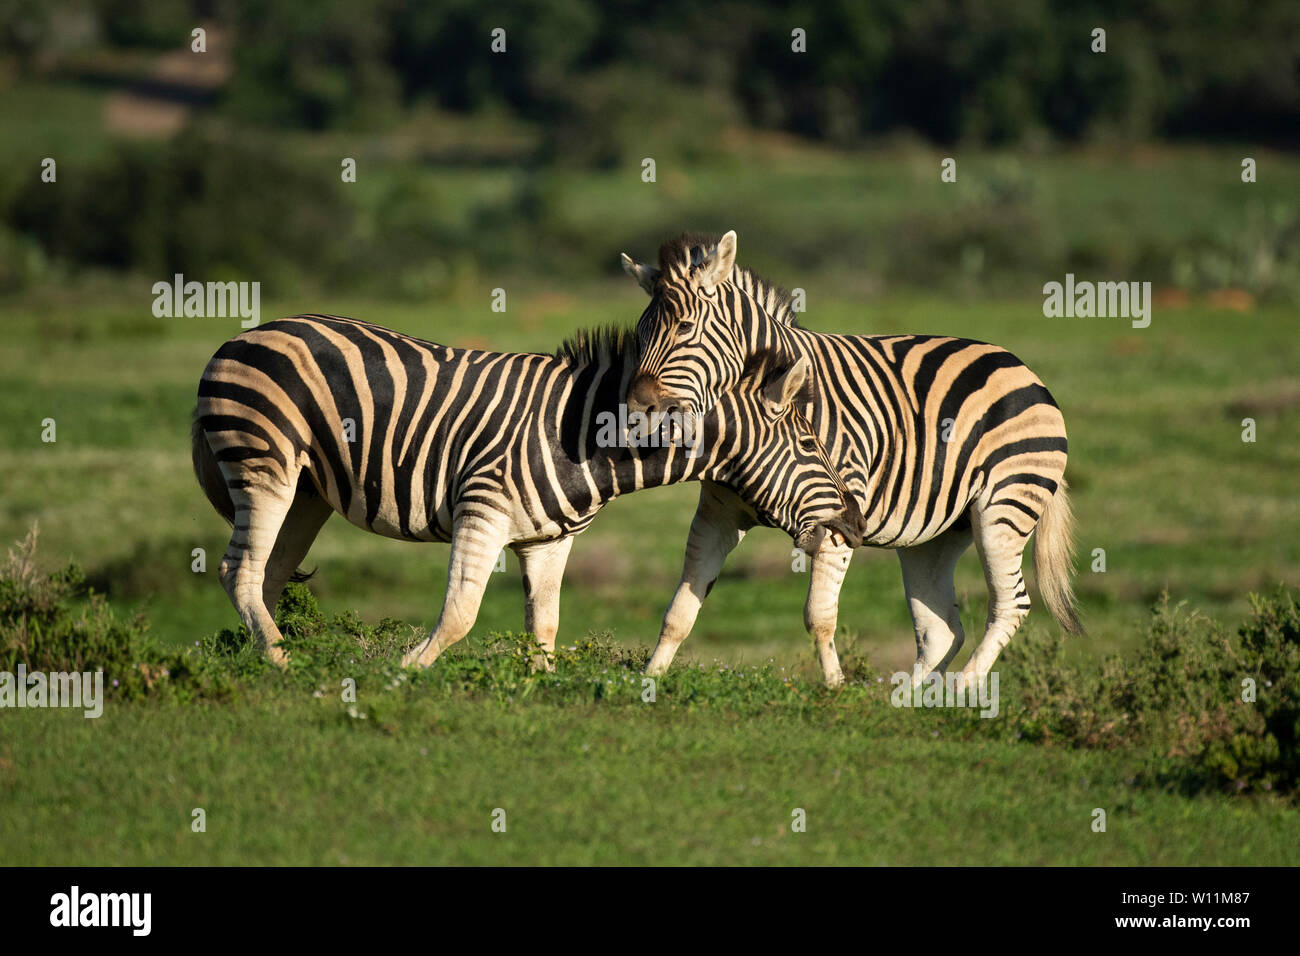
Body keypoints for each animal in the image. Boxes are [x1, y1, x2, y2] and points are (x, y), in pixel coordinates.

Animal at [189, 317, 863, 671]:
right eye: (812, 445)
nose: (854, 527)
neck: (589, 437)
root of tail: (238, 339)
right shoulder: (481, 509)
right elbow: (460, 614)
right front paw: (406, 673)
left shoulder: (549, 538)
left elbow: (545, 625)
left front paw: (536, 690)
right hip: (265, 463)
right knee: (237, 569)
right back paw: (284, 664)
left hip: (308, 491)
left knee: (266, 573)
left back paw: (266, 656)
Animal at [616, 235, 1076, 691]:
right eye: (639, 335)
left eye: (684, 328)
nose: (635, 411)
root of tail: (1020, 366)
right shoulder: (718, 515)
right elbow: (679, 611)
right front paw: (649, 680)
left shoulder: (834, 514)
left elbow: (818, 617)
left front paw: (836, 689)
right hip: (934, 536)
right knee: (941, 631)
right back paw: (906, 701)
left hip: (1005, 506)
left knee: (1011, 605)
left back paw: (963, 691)